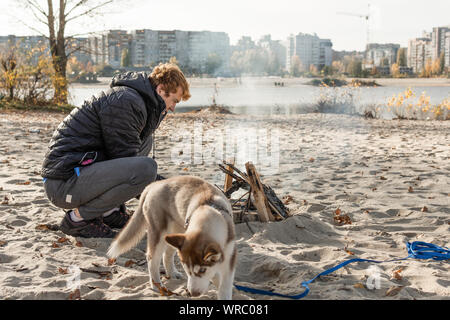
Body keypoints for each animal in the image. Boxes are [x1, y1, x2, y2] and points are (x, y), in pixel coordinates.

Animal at [107, 175, 237, 300]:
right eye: (187, 270)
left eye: (202, 270)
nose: (193, 293)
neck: (207, 214)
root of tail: (153, 185)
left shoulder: (229, 257)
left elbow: (224, 284)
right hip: (159, 232)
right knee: (152, 258)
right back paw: (156, 285)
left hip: (177, 233)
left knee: (167, 254)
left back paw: (172, 274)